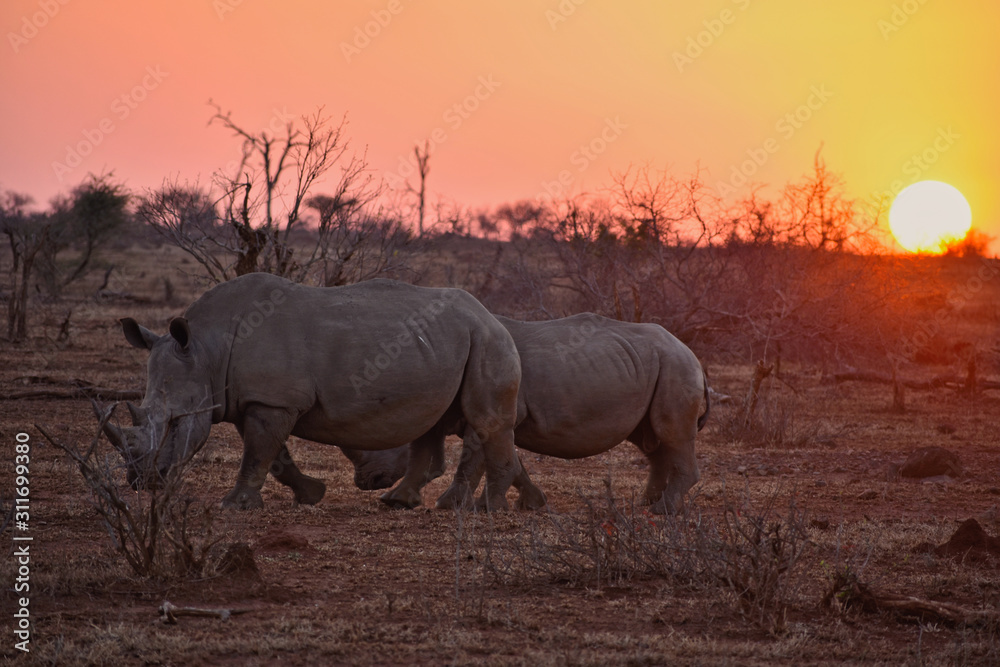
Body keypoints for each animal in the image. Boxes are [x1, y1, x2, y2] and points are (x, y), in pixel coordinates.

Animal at [102, 272, 523, 511]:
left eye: (175, 423)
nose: (142, 481)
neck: (205, 350)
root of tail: (490, 314)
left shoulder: (273, 400)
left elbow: (257, 454)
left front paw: (234, 506)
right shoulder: (254, 398)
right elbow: (273, 455)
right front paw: (310, 495)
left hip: (487, 340)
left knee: (484, 421)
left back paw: (485, 509)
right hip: (450, 343)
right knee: (432, 422)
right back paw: (400, 502)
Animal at [338, 313, 709, 514]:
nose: (367, 482)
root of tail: (690, 350)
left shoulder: (493, 414)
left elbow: (475, 459)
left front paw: (450, 505)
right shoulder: (504, 418)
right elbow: (514, 463)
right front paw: (531, 503)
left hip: (676, 366)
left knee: (669, 434)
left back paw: (662, 510)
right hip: (655, 365)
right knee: (652, 441)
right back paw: (647, 504)